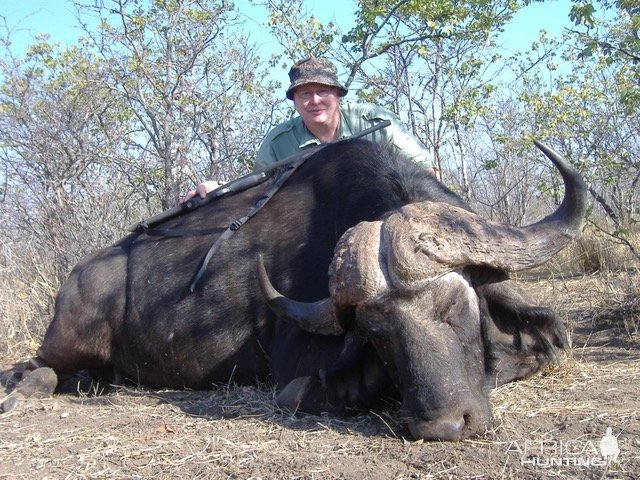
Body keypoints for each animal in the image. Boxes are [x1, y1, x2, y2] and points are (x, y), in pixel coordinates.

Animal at [3, 137, 584, 440]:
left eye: (455, 308)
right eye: (379, 336)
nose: (443, 425)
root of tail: (74, 280)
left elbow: (546, 341)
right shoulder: (293, 372)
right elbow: (312, 389)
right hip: (64, 343)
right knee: (36, 368)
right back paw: (23, 390)